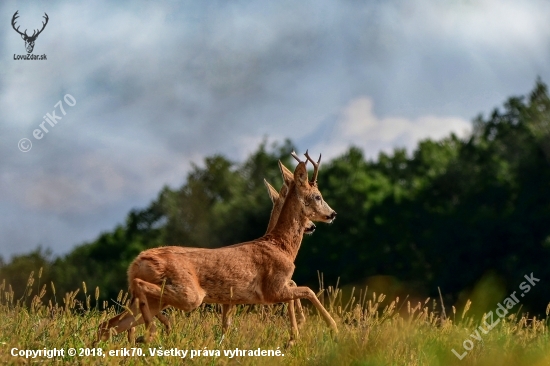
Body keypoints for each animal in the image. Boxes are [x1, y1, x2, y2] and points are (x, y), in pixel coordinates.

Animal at [97, 150, 338, 344]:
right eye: (318, 196)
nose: (332, 214)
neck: (281, 246)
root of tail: (136, 263)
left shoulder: (235, 300)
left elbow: (226, 329)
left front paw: (295, 336)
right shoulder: (272, 288)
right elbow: (308, 290)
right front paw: (327, 329)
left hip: (156, 300)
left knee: (108, 325)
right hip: (188, 294)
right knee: (128, 312)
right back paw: (154, 331)